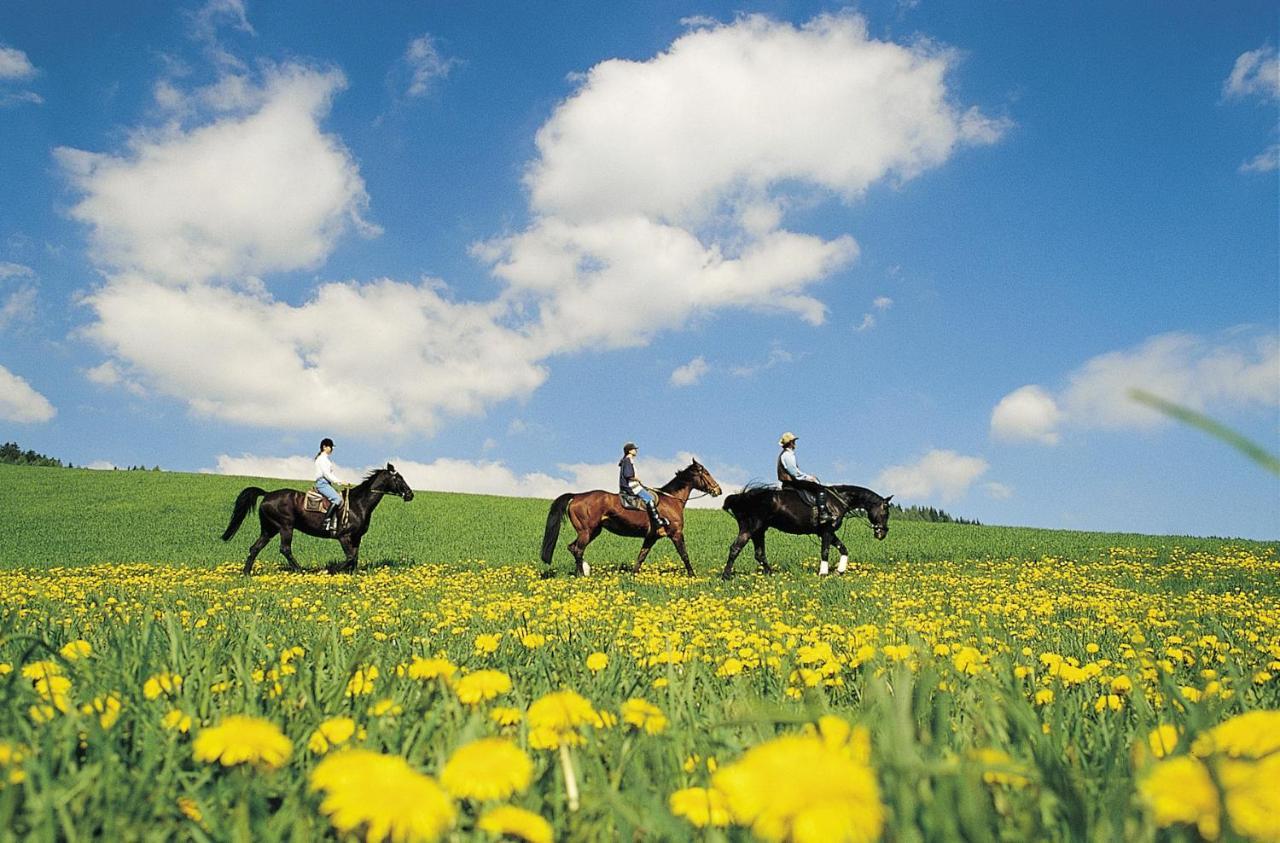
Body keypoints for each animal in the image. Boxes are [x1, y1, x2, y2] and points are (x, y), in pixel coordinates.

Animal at [220, 465, 414, 578]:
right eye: (398, 478)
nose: (410, 494)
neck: (359, 504)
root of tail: (267, 494)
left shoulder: (357, 537)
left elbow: (355, 558)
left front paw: (352, 576)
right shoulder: (344, 536)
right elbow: (350, 557)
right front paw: (332, 570)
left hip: (269, 529)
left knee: (255, 548)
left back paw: (246, 574)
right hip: (285, 526)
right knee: (285, 549)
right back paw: (301, 571)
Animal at [537, 465, 721, 578]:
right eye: (706, 473)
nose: (718, 490)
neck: (671, 500)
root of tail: (576, 496)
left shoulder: (651, 537)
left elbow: (641, 556)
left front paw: (633, 575)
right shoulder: (676, 533)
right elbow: (684, 554)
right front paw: (693, 575)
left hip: (592, 531)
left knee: (573, 547)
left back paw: (581, 572)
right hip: (586, 531)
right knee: (578, 549)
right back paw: (582, 575)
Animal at [721, 483, 890, 578]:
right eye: (886, 512)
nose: (882, 534)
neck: (838, 500)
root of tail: (741, 496)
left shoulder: (827, 533)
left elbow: (844, 549)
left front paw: (840, 571)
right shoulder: (827, 531)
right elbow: (825, 552)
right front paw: (823, 573)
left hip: (759, 531)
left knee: (759, 554)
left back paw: (771, 574)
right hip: (751, 527)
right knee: (736, 548)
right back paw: (726, 576)